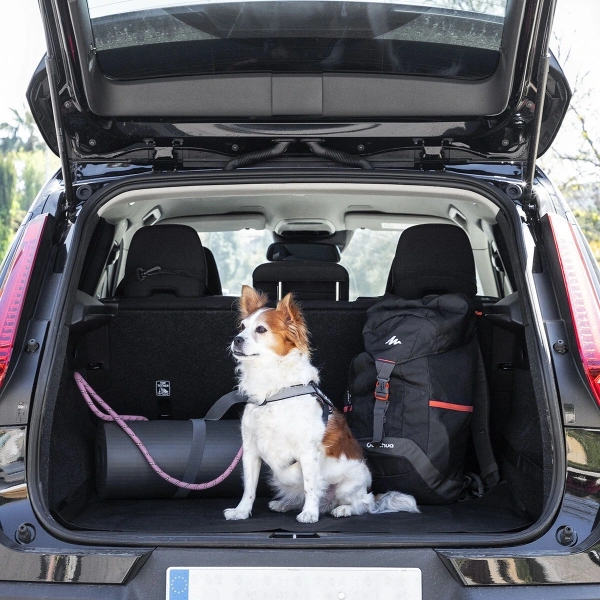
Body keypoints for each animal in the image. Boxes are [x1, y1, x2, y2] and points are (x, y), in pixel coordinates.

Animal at [224, 286, 418, 524]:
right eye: (242, 327)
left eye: (261, 329)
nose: (236, 340)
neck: (273, 391)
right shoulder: (251, 450)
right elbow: (249, 488)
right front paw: (241, 511)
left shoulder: (307, 452)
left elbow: (311, 486)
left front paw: (309, 513)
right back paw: (285, 504)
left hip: (348, 486)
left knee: (362, 504)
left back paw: (342, 509)